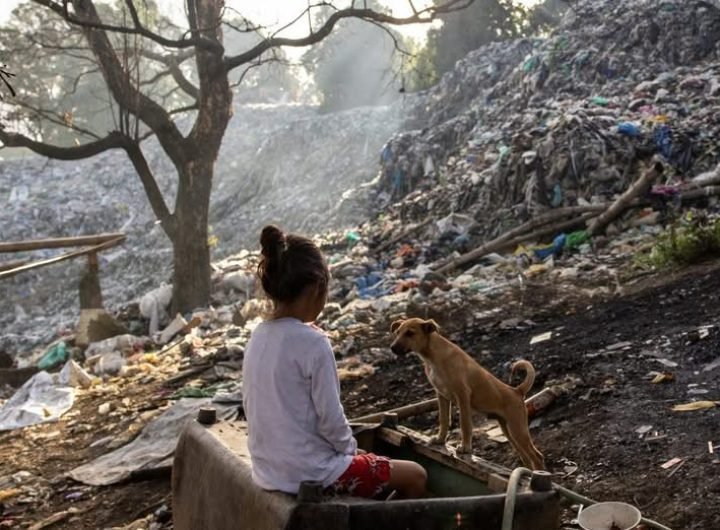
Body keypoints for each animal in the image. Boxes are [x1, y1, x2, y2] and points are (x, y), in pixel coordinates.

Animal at [390, 316, 544, 468]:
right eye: (397, 332)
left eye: (410, 333)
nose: (392, 348)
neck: (433, 357)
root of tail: (517, 390)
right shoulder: (441, 394)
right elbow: (444, 419)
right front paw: (440, 440)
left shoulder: (462, 394)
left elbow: (465, 423)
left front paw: (465, 448)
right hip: (508, 430)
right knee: (526, 458)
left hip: (517, 429)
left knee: (537, 457)